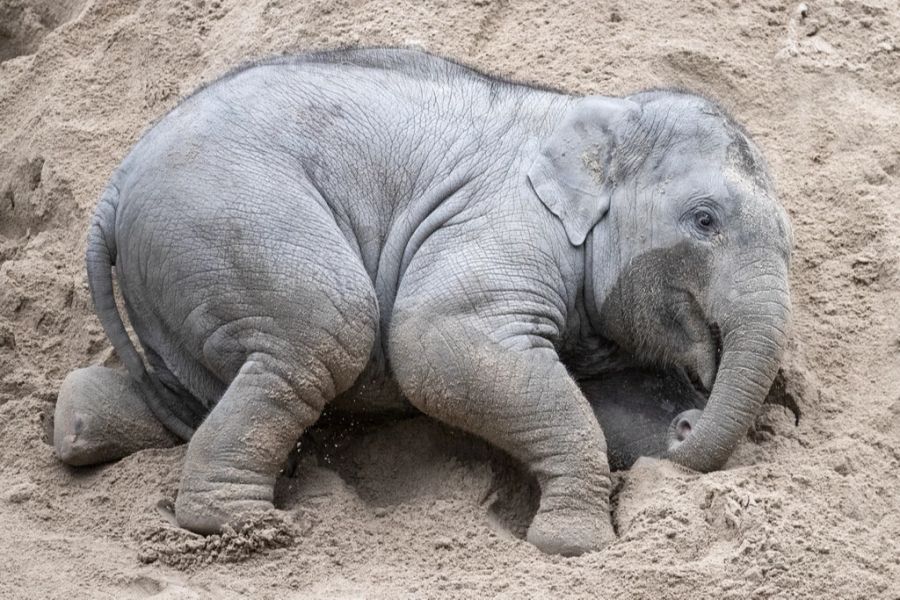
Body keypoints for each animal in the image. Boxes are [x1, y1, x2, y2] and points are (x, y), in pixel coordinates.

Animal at [52, 48, 792, 556]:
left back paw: (79, 424)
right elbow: (438, 343)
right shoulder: (499, 221)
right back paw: (246, 525)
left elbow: (610, 402)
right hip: (228, 221)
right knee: (322, 335)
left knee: (199, 385)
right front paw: (577, 545)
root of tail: (112, 190)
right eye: (704, 220)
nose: (689, 420)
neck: (598, 111)